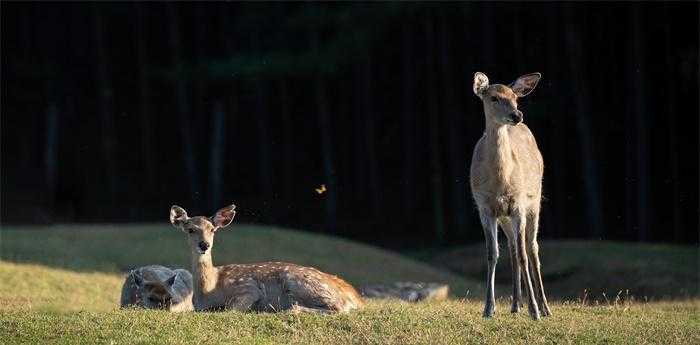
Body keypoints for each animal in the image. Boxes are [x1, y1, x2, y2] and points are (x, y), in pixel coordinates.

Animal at [170, 203, 364, 314]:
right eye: (190, 230)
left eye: (212, 229)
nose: (204, 245)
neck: (210, 289)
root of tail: (356, 298)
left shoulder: (247, 287)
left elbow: (230, 310)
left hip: (301, 283)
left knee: (338, 307)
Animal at [470, 71, 552, 318]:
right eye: (494, 98)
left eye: (515, 98)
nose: (517, 115)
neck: (500, 182)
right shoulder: (485, 207)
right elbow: (492, 254)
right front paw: (488, 308)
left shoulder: (518, 205)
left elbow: (525, 255)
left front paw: (535, 311)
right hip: (504, 217)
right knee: (514, 250)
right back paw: (516, 305)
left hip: (534, 202)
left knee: (531, 248)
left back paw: (544, 307)